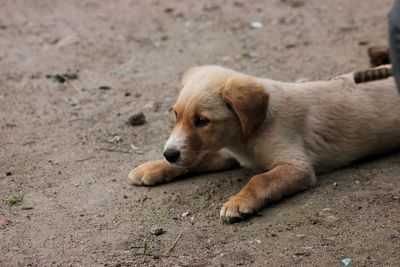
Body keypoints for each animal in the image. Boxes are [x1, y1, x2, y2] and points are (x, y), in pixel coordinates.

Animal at [129, 65, 400, 224]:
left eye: (202, 121)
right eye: (175, 115)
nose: (169, 153)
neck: (246, 135)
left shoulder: (297, 166)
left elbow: (260, 179)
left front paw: (239, 202)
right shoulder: (224, 151)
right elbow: (197, 159)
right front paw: (153, 167)